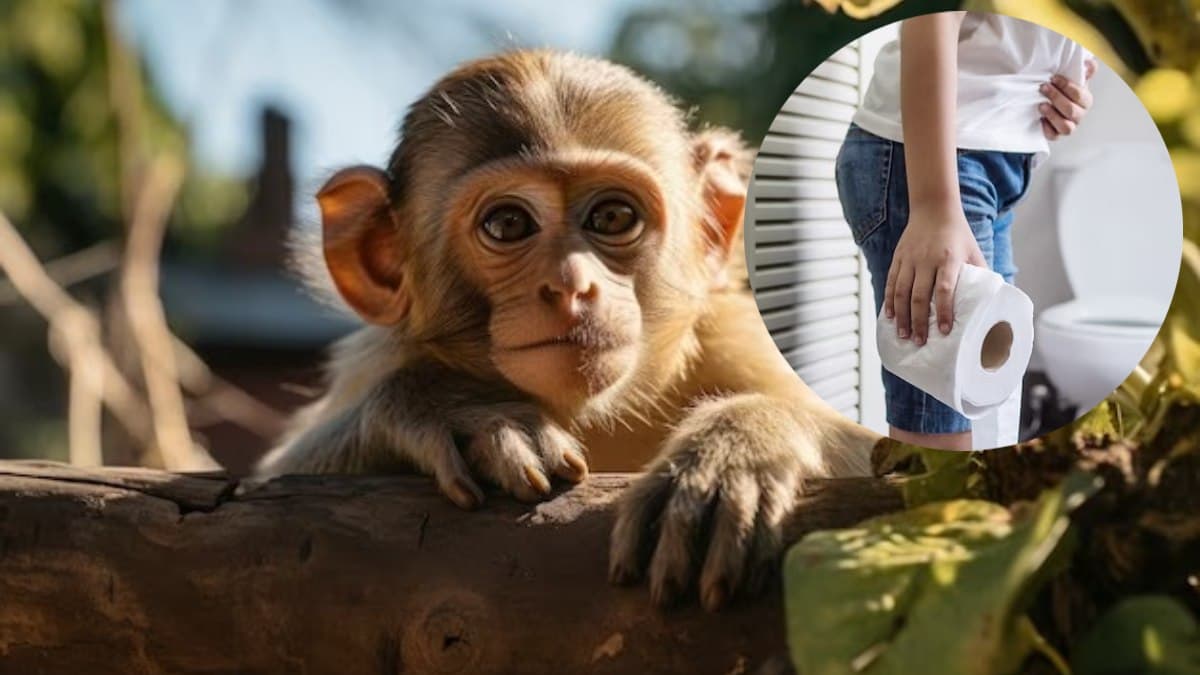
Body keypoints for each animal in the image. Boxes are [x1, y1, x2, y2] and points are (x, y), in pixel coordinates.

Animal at [255, 49, 881, 610]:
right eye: (508, 224)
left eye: (612, 217)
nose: (571, 285)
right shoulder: (379, 356)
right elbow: (270, 486)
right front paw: (458, 408)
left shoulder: (730, 338)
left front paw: (734, 449)